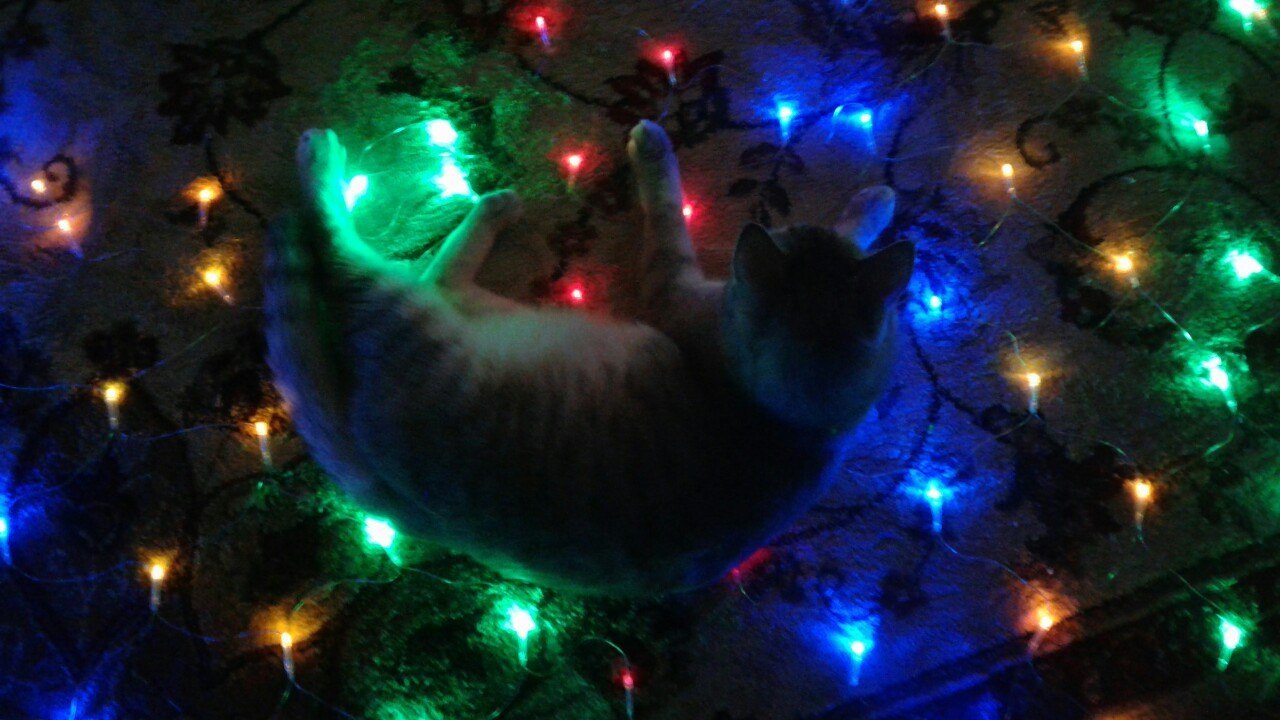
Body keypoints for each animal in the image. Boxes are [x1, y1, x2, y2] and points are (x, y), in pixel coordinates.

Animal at [263, 120, 914, 595]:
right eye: (790, 230)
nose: (771, 231)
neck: (790, 424)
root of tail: (391, 502)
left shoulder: (671, 288)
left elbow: (667, 206)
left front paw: (651, 146)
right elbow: (851, 230)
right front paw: (876, 200)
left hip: (413, 313)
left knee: (352, 249)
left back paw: (329, 158)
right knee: (428, 273)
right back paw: (494, 206)